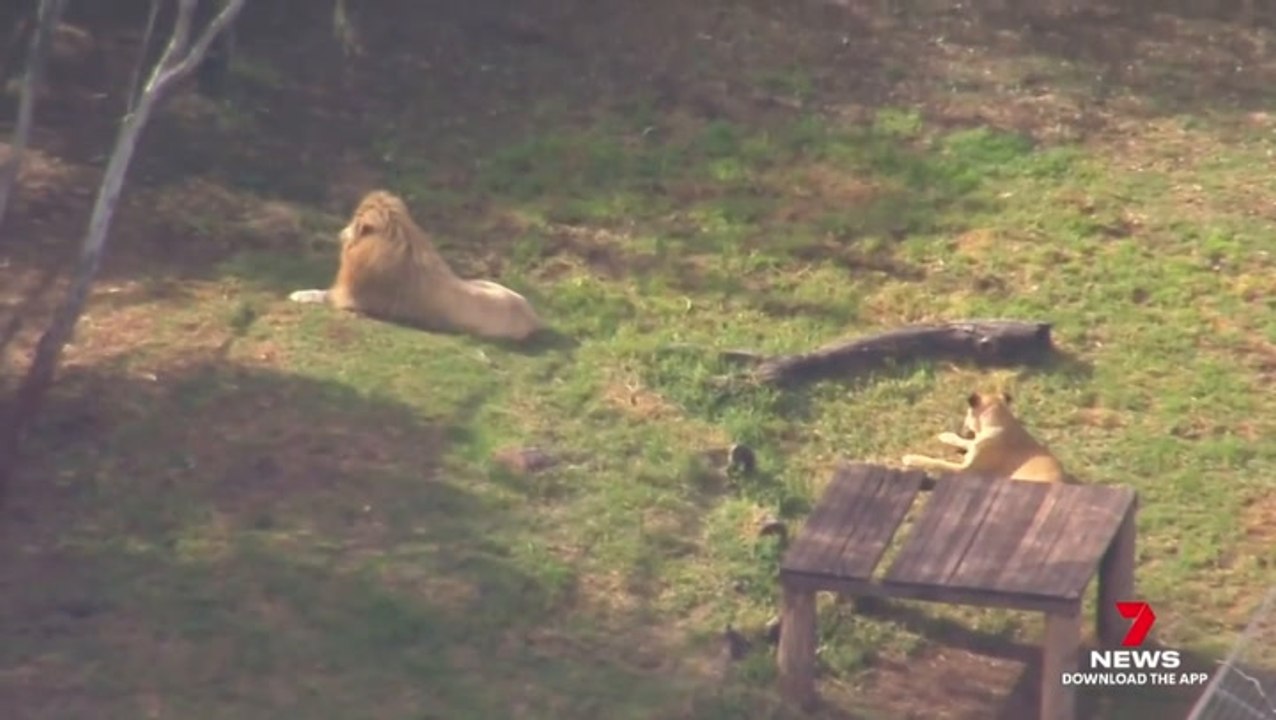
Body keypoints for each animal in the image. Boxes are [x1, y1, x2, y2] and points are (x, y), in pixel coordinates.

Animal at [289, 190, 545, 342]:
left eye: (354, 223)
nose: (340, 233)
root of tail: (534, 318)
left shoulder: (354, 299)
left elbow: (321, 294)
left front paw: (297, 294)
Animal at [901, 391, 1072, 483]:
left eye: (967, 413)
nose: (962, 428)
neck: (999, 421)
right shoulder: (975, 444)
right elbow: (967, 442)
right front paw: (948, 436)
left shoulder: (965, 469)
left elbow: (937, 462)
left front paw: (913, 458)